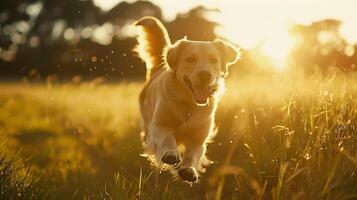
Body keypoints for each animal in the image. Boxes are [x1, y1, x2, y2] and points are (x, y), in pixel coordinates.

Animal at [134, 16, 239, 183]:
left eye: (213, 60)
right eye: (190, 59)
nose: (205, 75)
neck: (190, 104)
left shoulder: (198, 138)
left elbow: (193, 154)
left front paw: (188, 170)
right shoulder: (159, 126)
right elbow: (167, 138)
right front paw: (171, 154)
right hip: (146, 128)